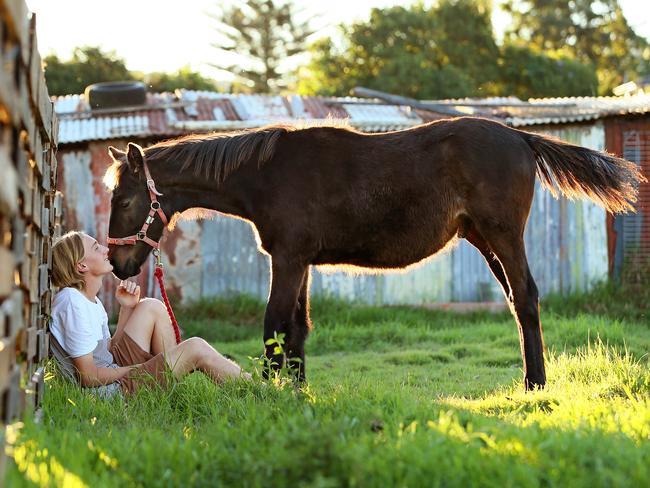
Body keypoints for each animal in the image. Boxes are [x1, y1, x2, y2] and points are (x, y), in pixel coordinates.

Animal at [104, 116, 640, 390]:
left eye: (125, 200)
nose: (116, 264)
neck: (268, 174)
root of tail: (521, 137)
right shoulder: (302, 262)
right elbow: (297, 328)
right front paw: (295, 390)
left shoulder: (288, 259)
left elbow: (275, 324)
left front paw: (268, 390)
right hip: (484, 239)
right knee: (515, 299)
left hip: (503, 236)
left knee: (526, 297)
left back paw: (536, 383)